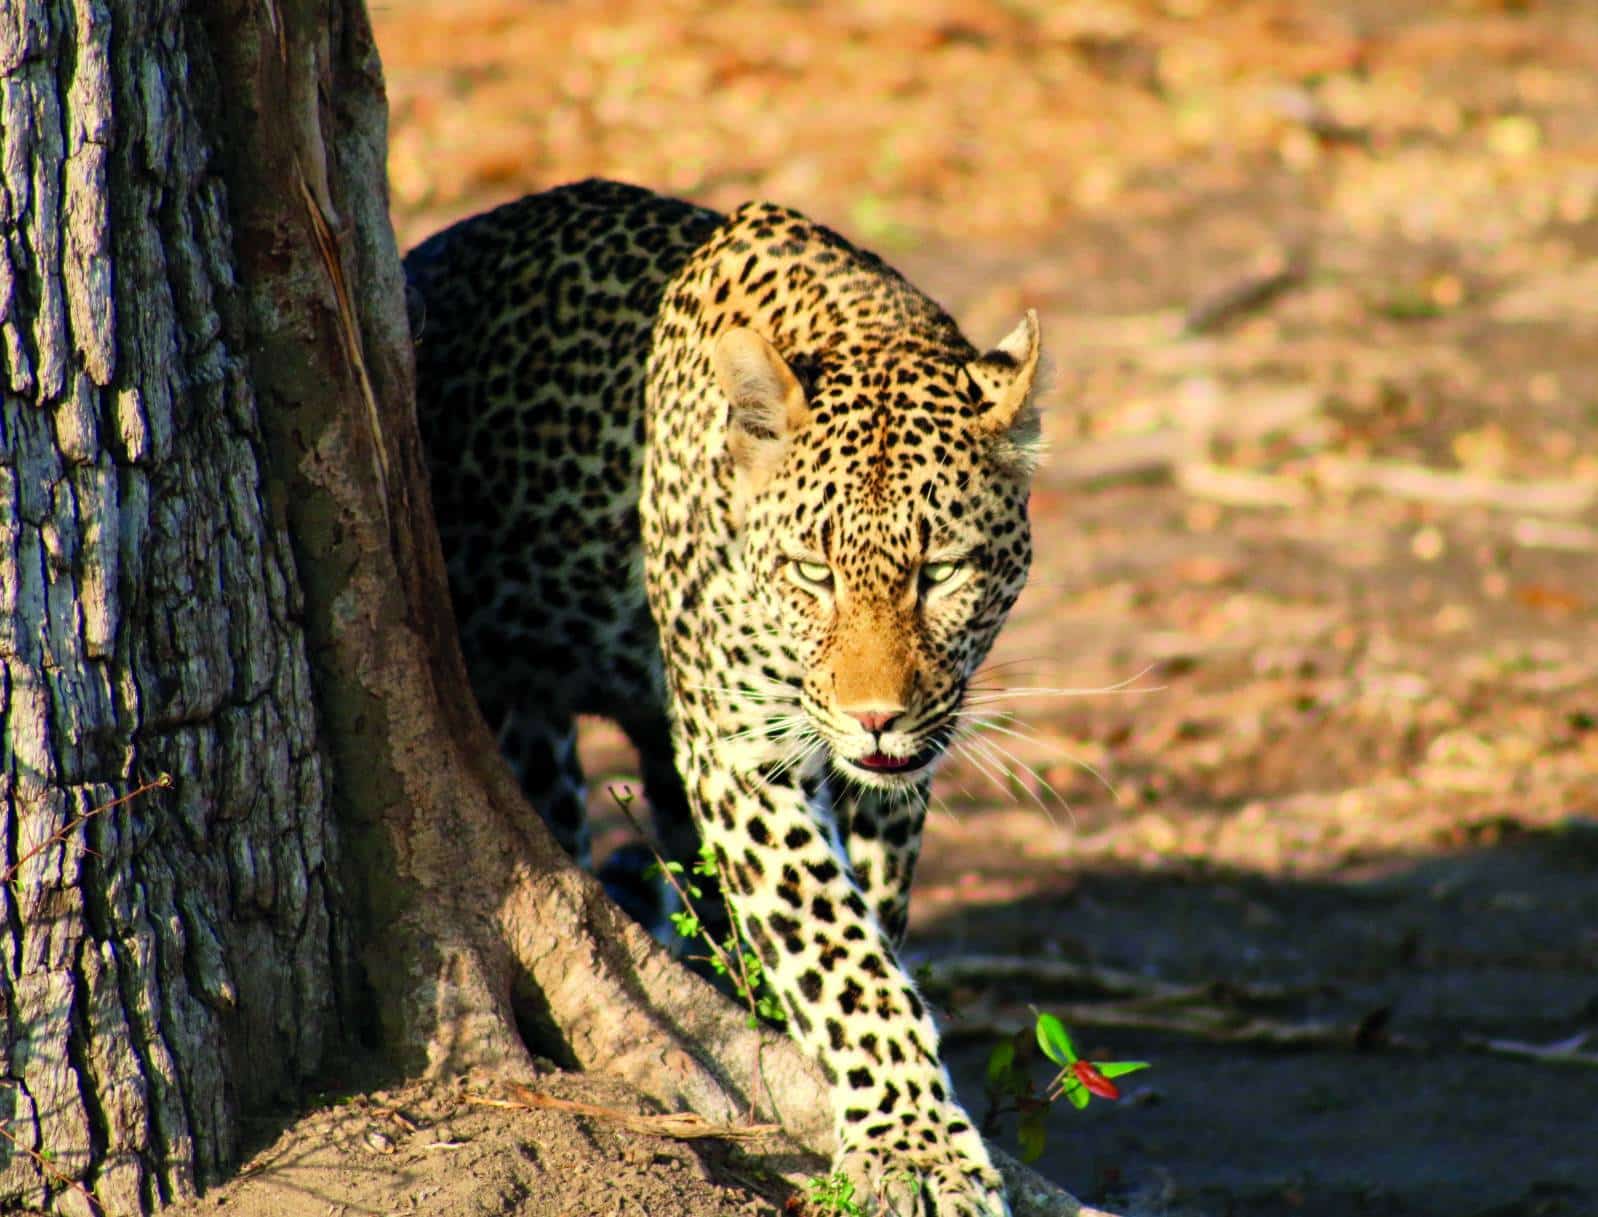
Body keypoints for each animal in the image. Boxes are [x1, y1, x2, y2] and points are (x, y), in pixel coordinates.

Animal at [405, 180, 1041, 1213]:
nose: (874, 715)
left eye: (940, 572)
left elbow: (873, 922)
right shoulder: (740, 751)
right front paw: (914, 1147)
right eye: (814, 572)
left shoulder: (894, 775)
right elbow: (841, 954)